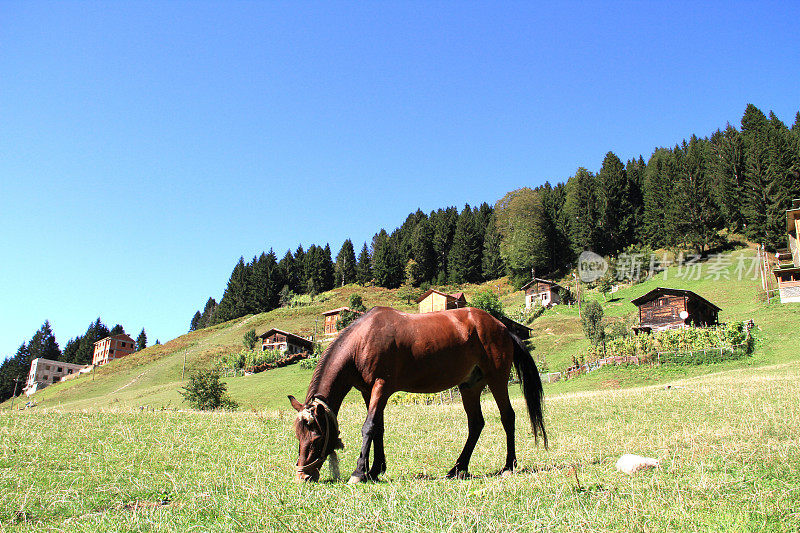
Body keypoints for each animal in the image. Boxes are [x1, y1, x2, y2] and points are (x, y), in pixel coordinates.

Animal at [290, 304, 552, 482]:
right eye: (298, 437)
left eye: (316, 438)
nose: (303, 476)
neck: (362, 340)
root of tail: (503, 327)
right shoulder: (368, 392)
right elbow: (378, 429)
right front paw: (375, 470)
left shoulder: (381, 387)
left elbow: (369, 427)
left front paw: (359, 472)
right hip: (470, 386)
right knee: (476, 424)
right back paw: (458, 468)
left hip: (496, 379)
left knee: (508, 417)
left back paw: (508, 466)